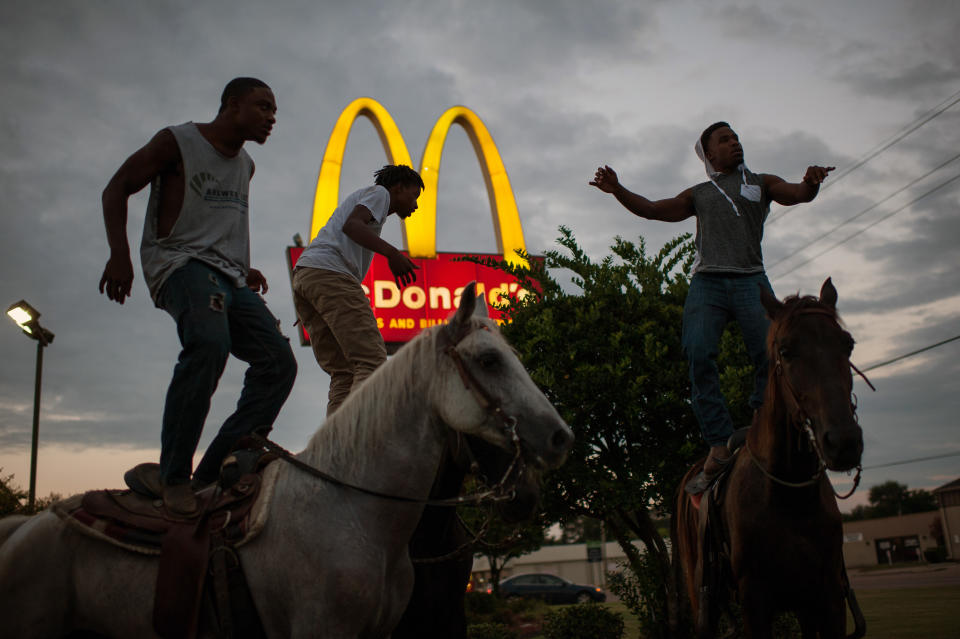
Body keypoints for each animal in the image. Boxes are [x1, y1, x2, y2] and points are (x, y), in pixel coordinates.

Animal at [676, 280, 872, 639]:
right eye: (785, 351)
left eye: (848, 344)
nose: (844, 441)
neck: (790, 496)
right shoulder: (755, 601)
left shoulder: (826, 597)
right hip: (703, 602)